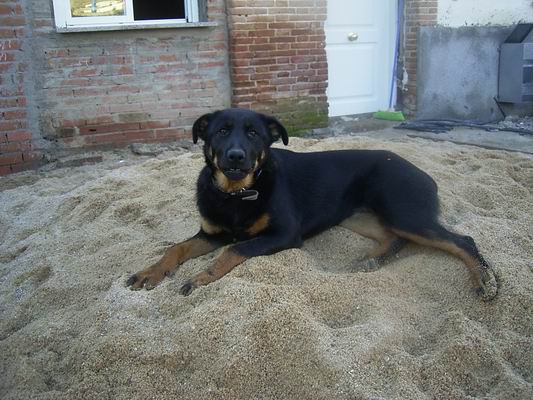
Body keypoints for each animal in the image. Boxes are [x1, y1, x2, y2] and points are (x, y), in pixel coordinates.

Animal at [125, 108, 498, 300]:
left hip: (403, 211)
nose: (235, 156)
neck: (237, 192)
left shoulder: (284, 234)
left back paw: (485, 281)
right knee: (394, 239)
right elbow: (175, 247)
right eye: (220, 131)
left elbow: (233, 251)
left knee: (463, 240)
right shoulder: (211, 233)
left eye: (254, 133)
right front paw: (149, 272)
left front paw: (201, 277)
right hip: (357, 216)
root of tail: (422, 171)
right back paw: (369, 262)